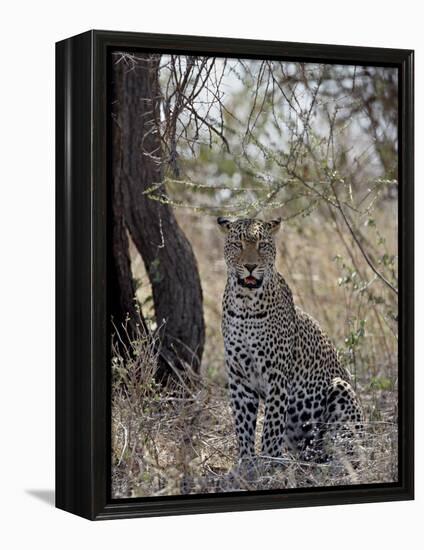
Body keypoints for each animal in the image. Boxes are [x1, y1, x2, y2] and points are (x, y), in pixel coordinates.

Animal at [217, 218, 362, 464]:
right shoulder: (238, 376)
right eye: (237, 244)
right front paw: (245, 463)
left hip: (340, 389)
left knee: (347, 448)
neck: (245, 304)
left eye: (262, 245)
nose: (250, 266)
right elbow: (243, 423)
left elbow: (272, 425)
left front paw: (268, 462)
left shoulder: (276, 374)